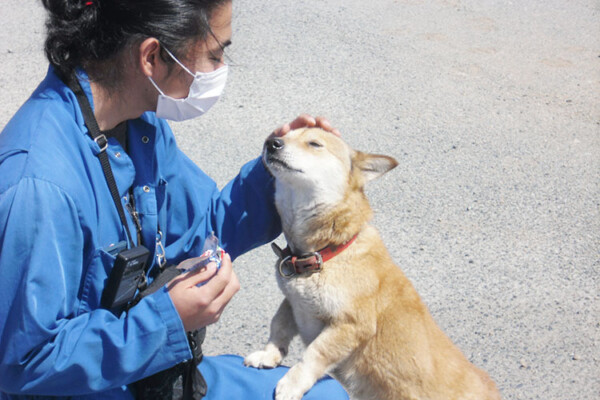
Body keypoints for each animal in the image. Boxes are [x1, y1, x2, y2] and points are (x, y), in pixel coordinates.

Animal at [244, 128, 501, 400]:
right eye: (284, 135)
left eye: (314, 144)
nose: (271, 143)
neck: (325, 251)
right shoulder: (293, 301)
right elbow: (279, 325)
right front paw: (268, 355)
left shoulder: (352, 324)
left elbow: (313, 354)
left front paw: (293, 382)